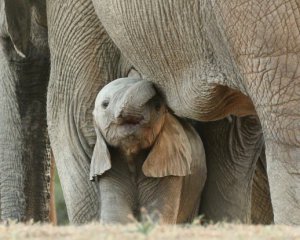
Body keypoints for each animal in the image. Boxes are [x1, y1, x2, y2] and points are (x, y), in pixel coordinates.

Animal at [89, 78, 206, 224]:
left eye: (157, 107)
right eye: (105, 104)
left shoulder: (170, 168)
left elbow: (158, 214)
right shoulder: (109, 169)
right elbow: (116, 216)